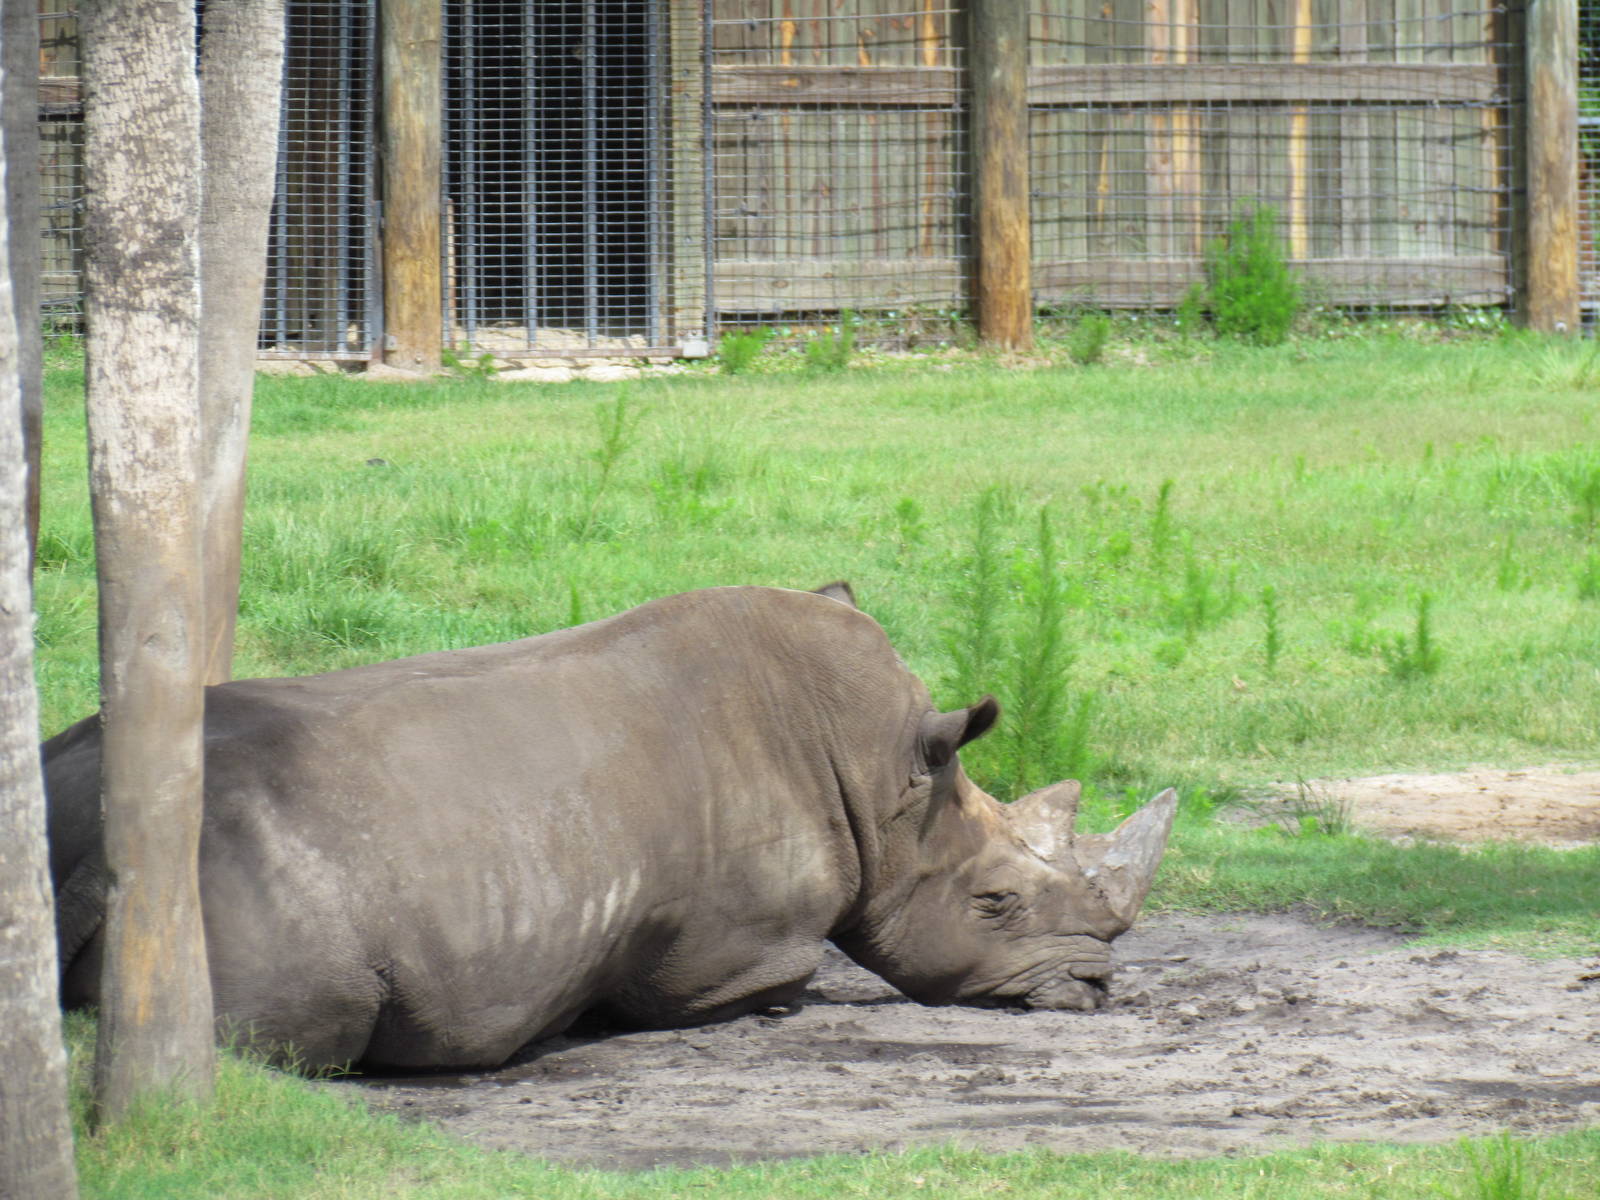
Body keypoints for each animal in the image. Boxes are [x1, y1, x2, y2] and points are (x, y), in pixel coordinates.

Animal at [45, 584, 1176, 1072]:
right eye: (996, 902)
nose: (1093, 987)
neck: (881, 782)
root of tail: (92, 835)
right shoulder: (729, 952)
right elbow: (766, 986)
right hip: (232, 878)